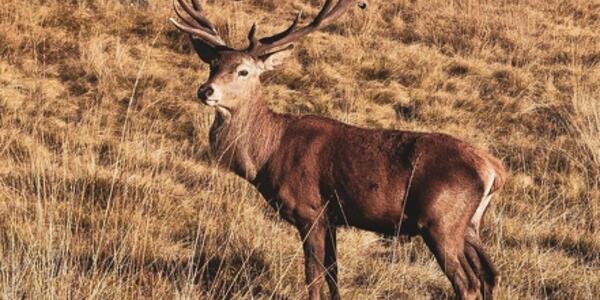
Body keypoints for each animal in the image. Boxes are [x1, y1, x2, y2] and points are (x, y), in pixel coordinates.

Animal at [169, 1, 506, 298]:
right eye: (213, 65)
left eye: (243, 71)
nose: (206, 90)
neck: (268, 155)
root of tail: (494, 170)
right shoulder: (333, 217)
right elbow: (333, 276)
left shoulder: (310, 210)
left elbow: (313, 278)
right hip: (469, 225)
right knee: (490, 276)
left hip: (440, 222)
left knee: (468, 284)